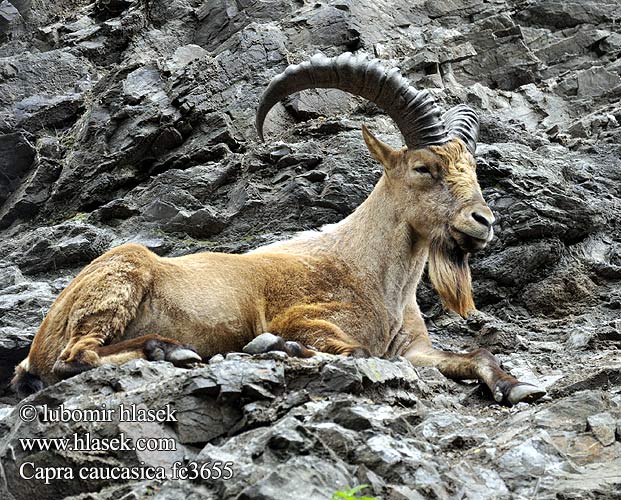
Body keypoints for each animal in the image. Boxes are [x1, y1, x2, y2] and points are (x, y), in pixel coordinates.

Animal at [9, 52, 544, 404]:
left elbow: (477, 353)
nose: (483, 222)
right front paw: (275, 345)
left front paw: (517, 385)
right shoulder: (302, 317)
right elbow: (352, 350)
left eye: (473, 170)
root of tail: (34, 345)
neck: (371, 274)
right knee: (75, 357)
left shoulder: (414, 348)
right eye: (423, 168)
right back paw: (173, 350)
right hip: (124, 271)